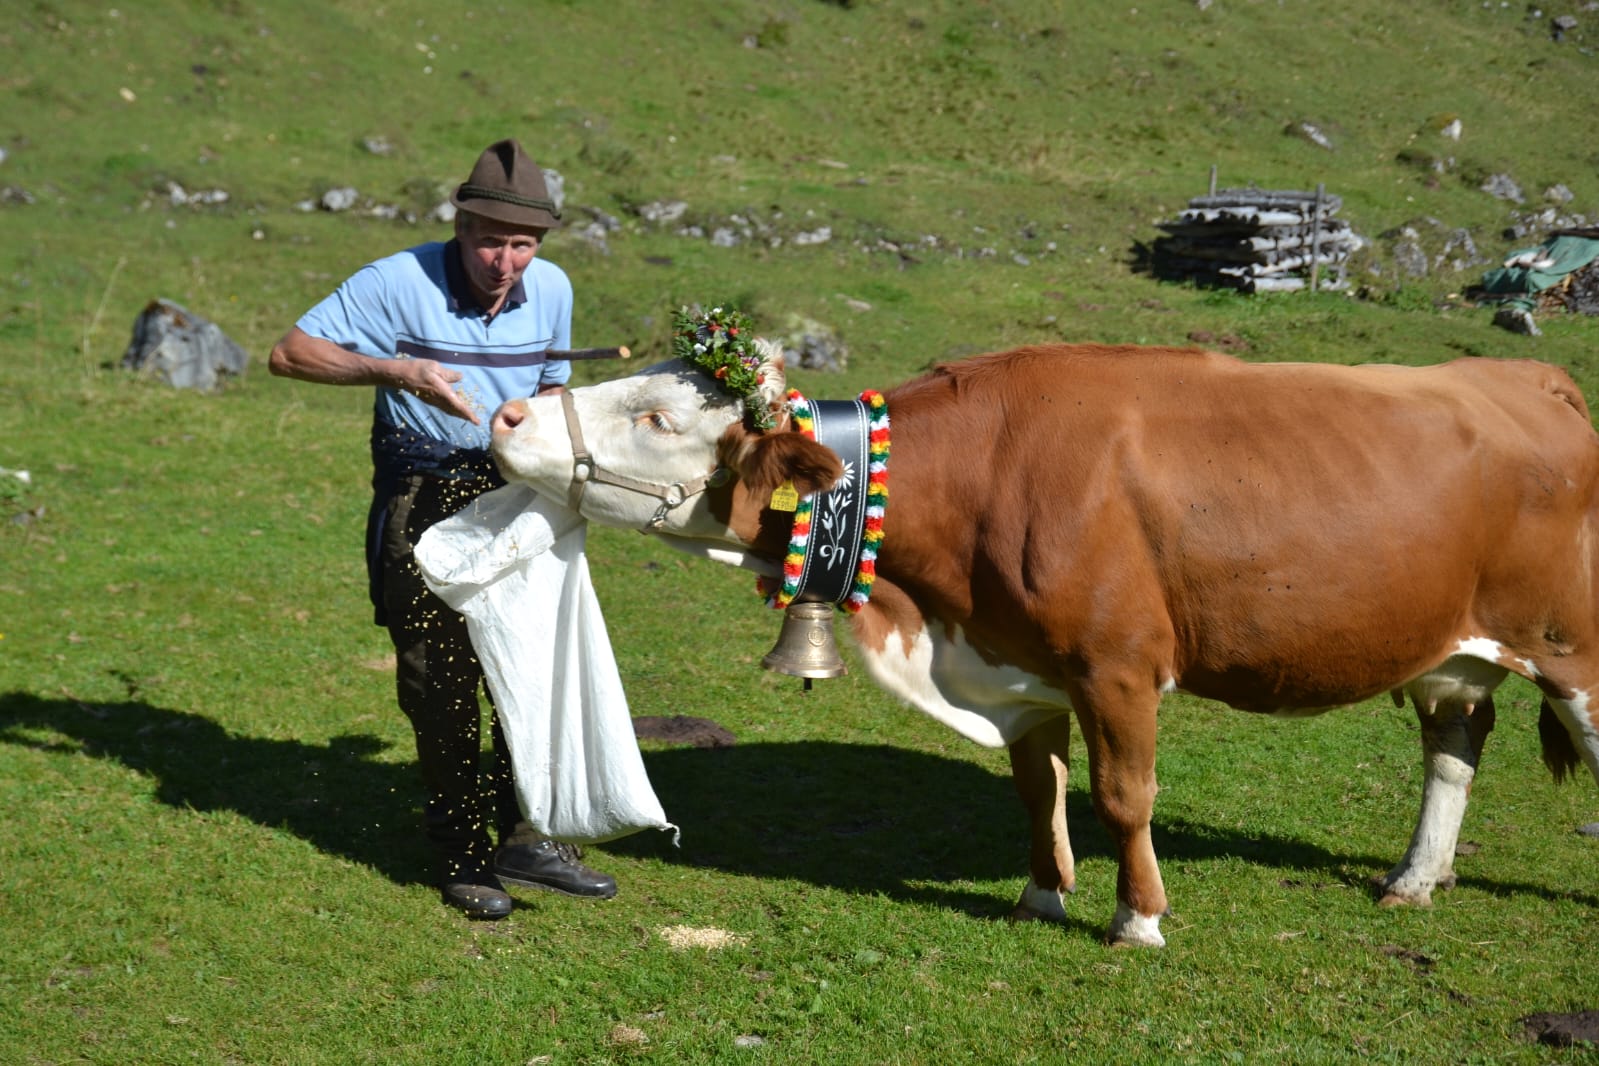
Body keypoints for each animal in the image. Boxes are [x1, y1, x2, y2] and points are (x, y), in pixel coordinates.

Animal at [486, 343, 1599, 952]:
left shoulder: (1119, 664)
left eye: (656, 416)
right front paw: (1040, 895)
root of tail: (1533, 377)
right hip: (1457, 651)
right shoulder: (1021, 669)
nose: (505, 412)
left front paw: (1137, 918)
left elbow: (1123, 797)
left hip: (1576, 652)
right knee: (1454, 748)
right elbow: (1039, 787)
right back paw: (1415, 876)